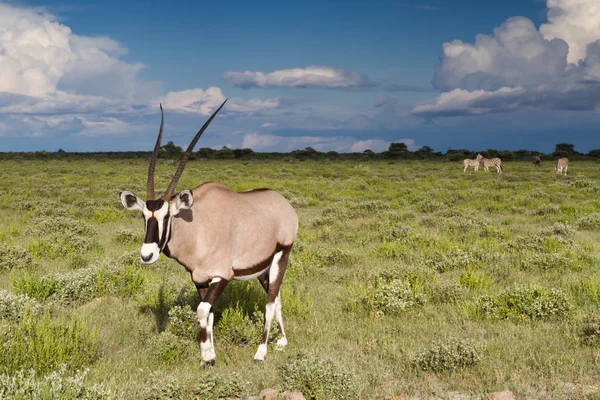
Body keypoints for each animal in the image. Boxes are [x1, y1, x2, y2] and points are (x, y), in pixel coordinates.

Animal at [118, 101, 298, 366]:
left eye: (167, 216)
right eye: (144, 216)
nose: (147, 255)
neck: (197, 230)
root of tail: (285, 205)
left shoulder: (222, 275)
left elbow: (202, 310)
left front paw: (206, 355)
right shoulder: (200, 279)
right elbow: (209, 313)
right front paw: (210, 356)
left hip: (281, 256)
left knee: (270, 301)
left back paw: (260, 352)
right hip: (264, 268)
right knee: (277, 299)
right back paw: (282, 341)